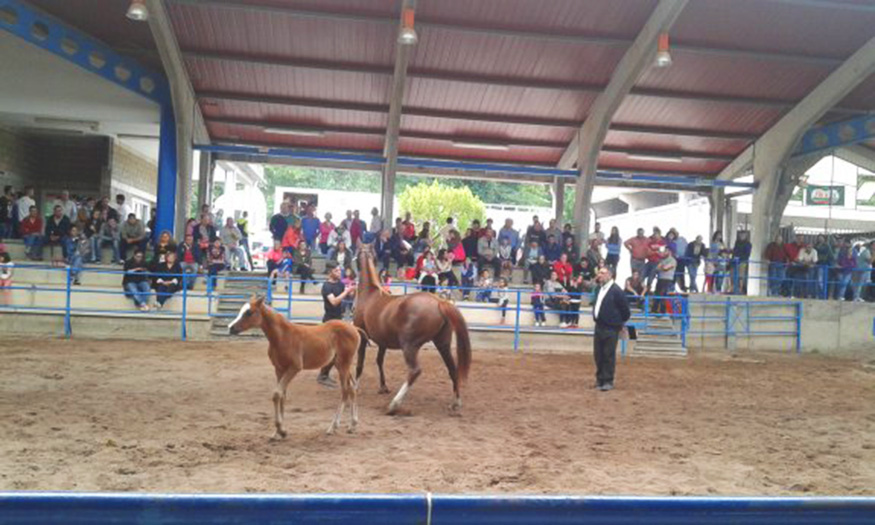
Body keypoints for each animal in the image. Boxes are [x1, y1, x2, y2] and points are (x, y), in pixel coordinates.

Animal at [229, 294, 362, 438]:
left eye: (249, 312)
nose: (230, 328)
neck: (283, 336)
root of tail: (354, 328)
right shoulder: (279, 369)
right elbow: (282, 395)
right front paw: (277, 433)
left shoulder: (294, 368)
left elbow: (276, 394)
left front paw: (281, 430)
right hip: (341, 364)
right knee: (352, 388)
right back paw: (352, 425)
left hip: (343, 364)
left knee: (345, 391)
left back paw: (333, 427)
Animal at [352, 245, 472, 414]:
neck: (370, 294)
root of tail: (439, 302)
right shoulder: (382, 342)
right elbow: (379, 361)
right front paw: (383, 387)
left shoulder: (362, 337)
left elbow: (360, 364)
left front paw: (355, 387)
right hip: (442, 344)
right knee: (452, 369)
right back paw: (455, 402)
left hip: (409, 345)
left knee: (415, 371)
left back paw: (394, 404)